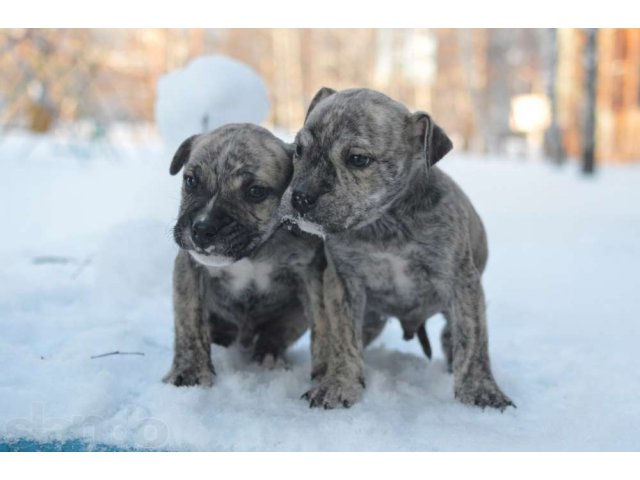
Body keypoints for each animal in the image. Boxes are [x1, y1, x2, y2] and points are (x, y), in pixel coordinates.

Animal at [162, 124, 322, 386]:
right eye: (191, 181)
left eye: (255, 192)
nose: (202, 229)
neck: (251, 253)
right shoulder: (190, 269)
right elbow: (189, 322)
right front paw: (189, 372)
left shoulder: (308, 273)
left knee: (278, 333)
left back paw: (269, 356)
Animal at [282, 88, 512, 410]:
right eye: (299, 150)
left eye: (358, 159)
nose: (301, 197)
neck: (386, 223)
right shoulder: (342, 282)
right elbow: (343, 338)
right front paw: (340, 384)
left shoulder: (461, 282)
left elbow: (474, 338)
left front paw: (480, 389)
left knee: (451, 335)